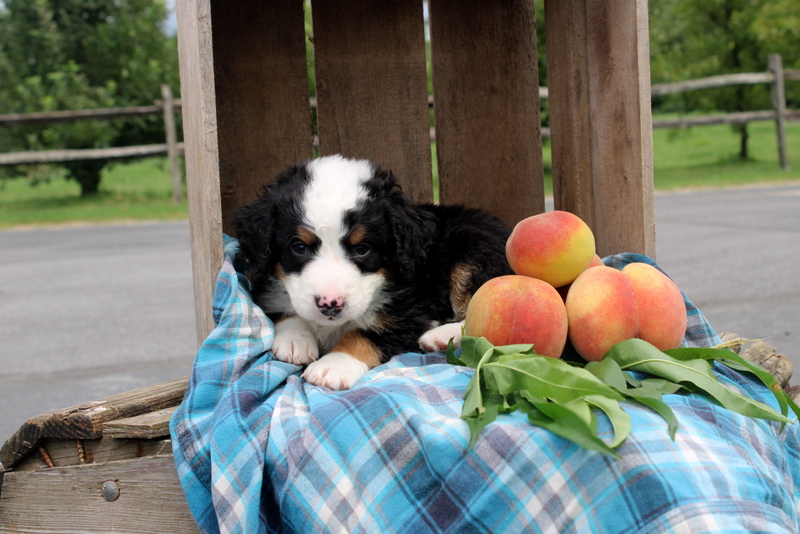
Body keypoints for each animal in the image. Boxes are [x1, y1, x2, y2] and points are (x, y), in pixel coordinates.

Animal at [236, 157, 512, 392]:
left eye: (362, 249)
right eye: (299, 247)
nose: (330, 304)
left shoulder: (407, 313)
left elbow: (361, 335)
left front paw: (333, 366)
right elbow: (283, 308)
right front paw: (295, 341)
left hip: (474, 250)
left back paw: (441, 336)